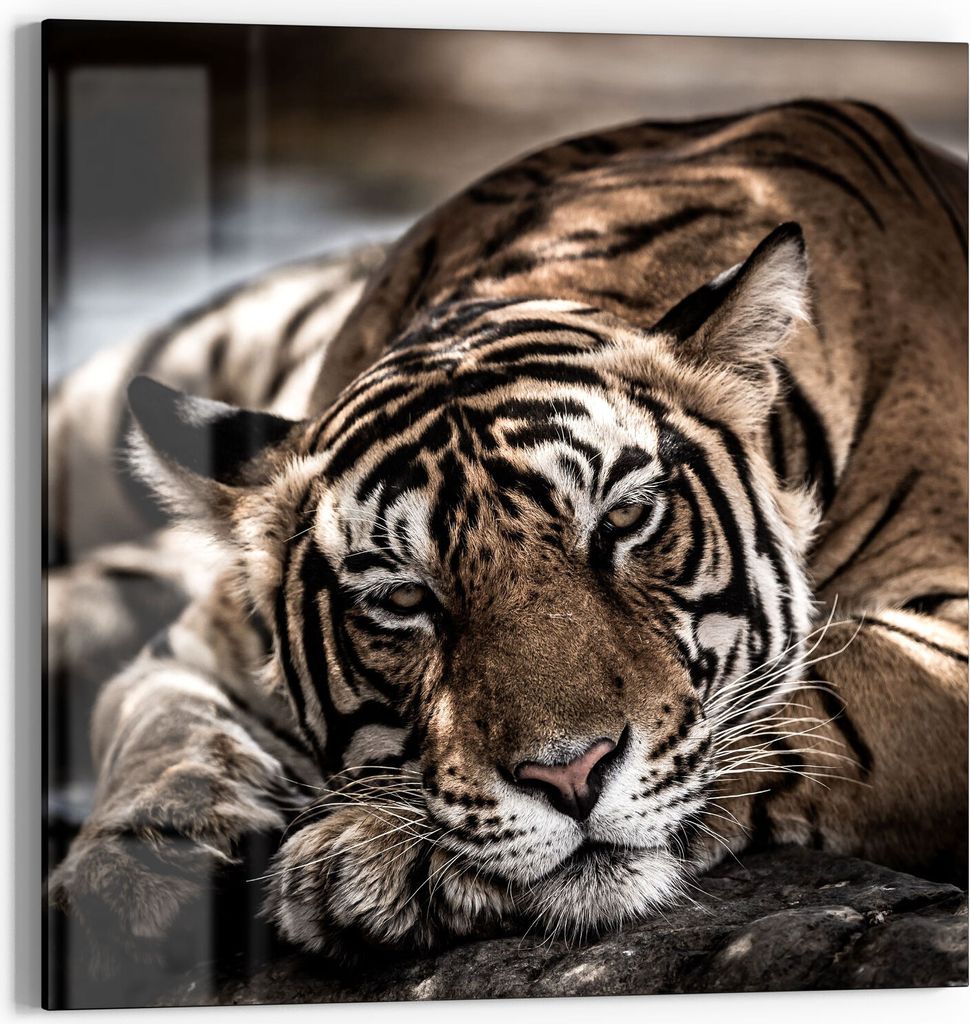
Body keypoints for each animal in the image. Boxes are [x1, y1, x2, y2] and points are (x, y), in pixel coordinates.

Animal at [47, 99, 968, 970]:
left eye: (624, 519)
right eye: (404, 598)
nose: (569, 776)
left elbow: (825, 695)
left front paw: (373, 853)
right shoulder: (202, 644)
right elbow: (161, 727)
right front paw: (128, 877)